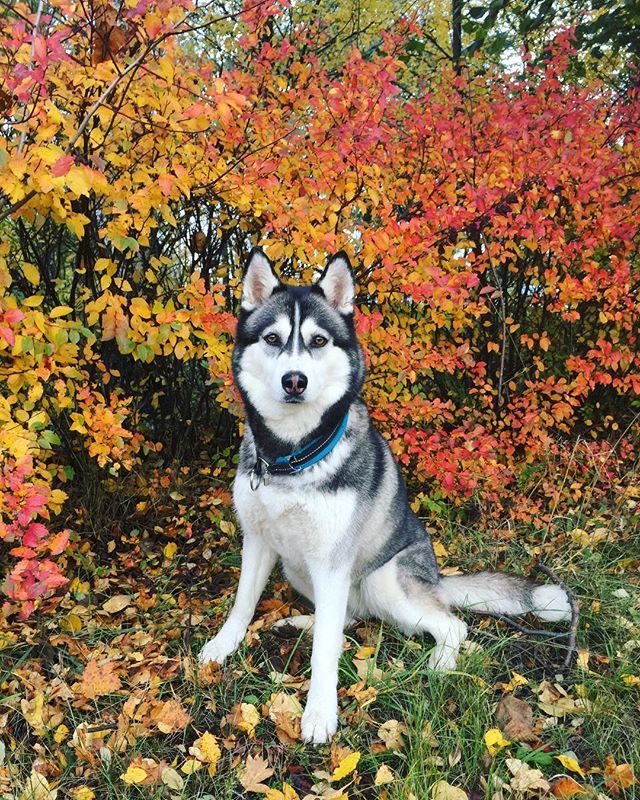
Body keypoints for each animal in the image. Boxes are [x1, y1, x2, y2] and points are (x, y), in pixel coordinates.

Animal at [200, 250, 568, 744]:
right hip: (299, 568)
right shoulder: (257, 541)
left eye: (318, 341)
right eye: (273, 338)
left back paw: (440, 661)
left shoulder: (331, 561)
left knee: (450, 624)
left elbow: (326, 652)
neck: (291, 456)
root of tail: (436, 578)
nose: (295, 380)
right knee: (348, 618)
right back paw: (302, 622)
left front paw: (319, 713)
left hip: (383, 580)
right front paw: (224, 645)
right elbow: (243, 603)